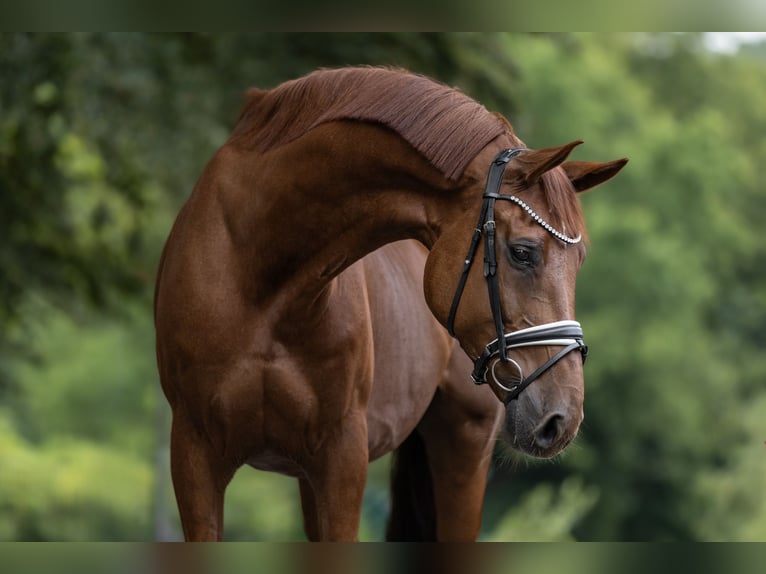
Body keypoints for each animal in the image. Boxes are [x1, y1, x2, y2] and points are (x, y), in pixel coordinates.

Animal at [154, 66, 627, 541]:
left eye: (580, 261)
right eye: (523, 252)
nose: (562, 418)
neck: (260, 279)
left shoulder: (341, 458)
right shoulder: (195, 458)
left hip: (464, 446)